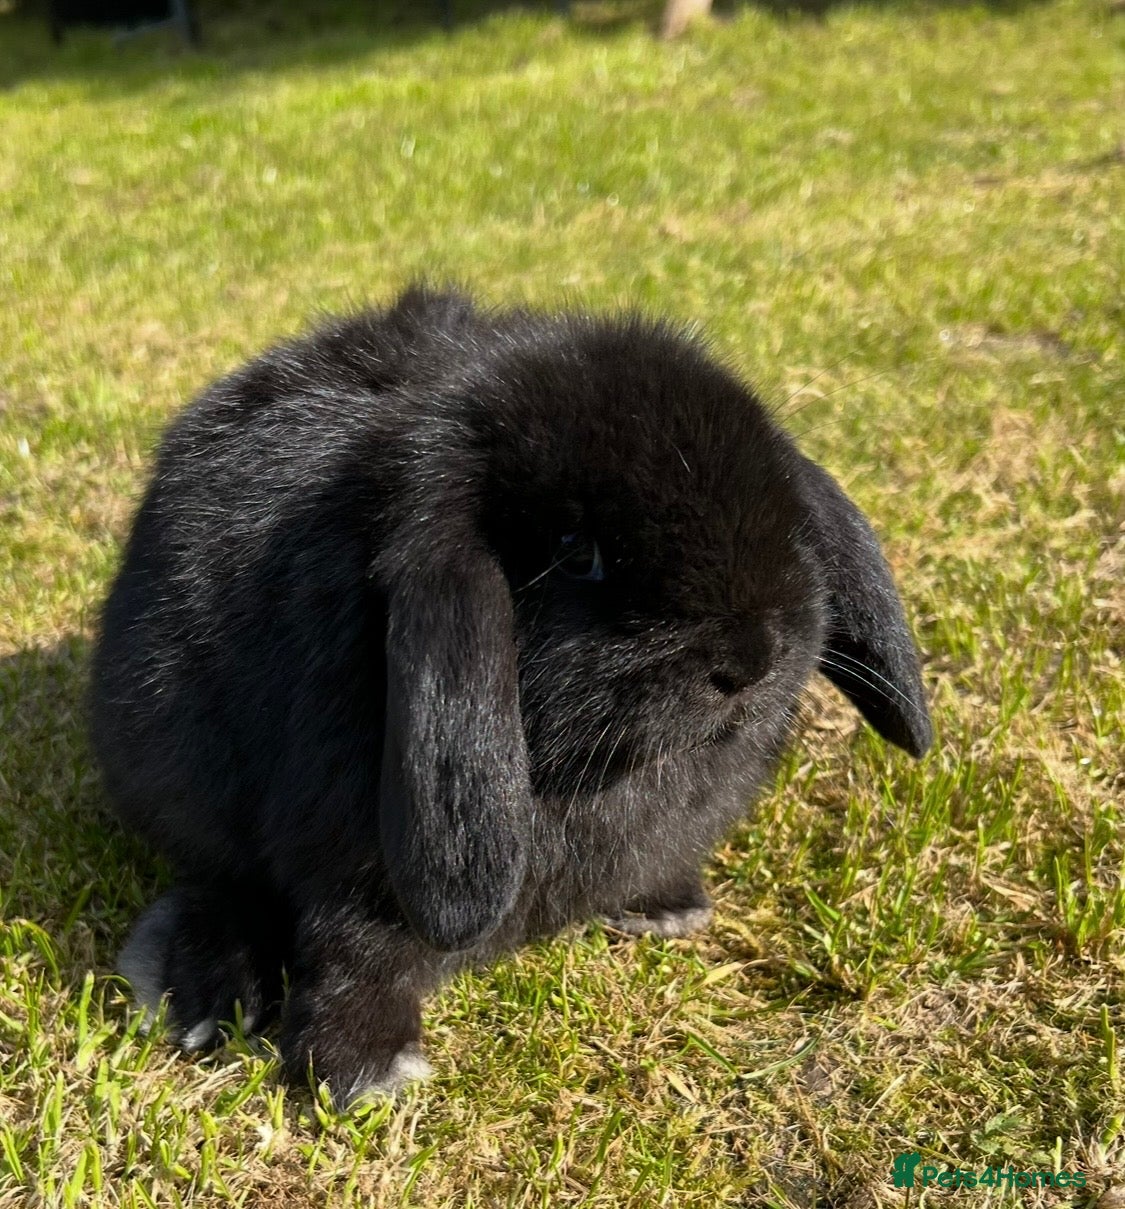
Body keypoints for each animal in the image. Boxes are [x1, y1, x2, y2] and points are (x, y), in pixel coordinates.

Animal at [90, 285, 931, 1107]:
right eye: (577, 553)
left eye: (784, 513)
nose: (752, 658)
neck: (597, 774)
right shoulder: (353, 874)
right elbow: (355, 957)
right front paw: (363, 1071)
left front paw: (668, 906)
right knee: (220, 882)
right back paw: (203, 1001)